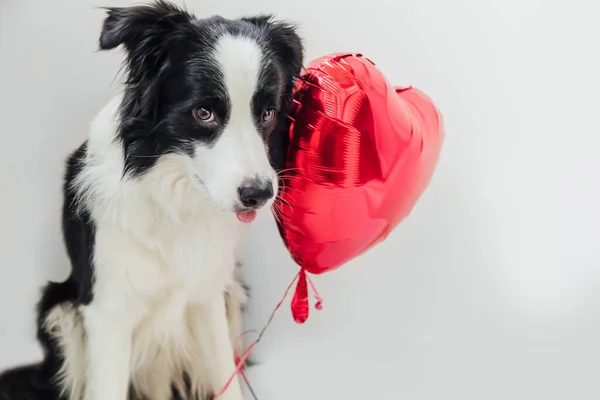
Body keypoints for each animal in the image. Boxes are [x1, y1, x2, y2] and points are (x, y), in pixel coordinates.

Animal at [0, 1, 302, 398]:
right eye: (203, 112)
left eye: (267, 113)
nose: (259, 194)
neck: (171, 198)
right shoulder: (108, 310)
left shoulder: (208, 294)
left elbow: (226, 376)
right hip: (59, 309)